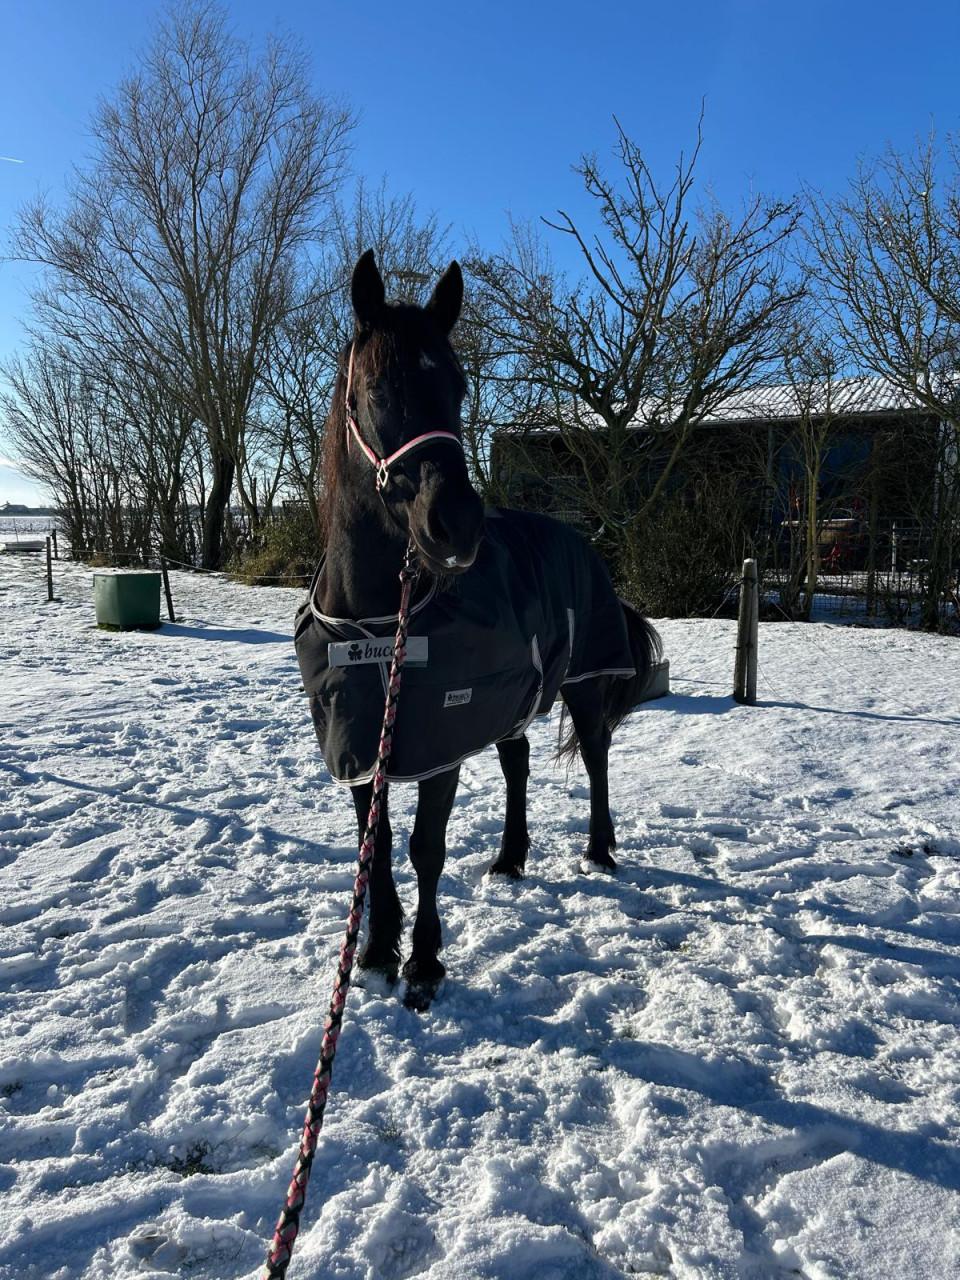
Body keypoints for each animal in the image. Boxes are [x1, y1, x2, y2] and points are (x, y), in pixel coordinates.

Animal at [295, 250, 661, 1010]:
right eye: (375, 387)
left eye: (459, 386)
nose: (455, 525)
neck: (378, 623)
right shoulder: (359, 745)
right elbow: (374, 848)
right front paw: (376, 951)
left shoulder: (439, 743)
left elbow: (424, 849)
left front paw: (424, 965)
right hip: (513, 696)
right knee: (518, 764)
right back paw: (510, 858)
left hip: (584, 686)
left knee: (597, 756)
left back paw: (599, 851)